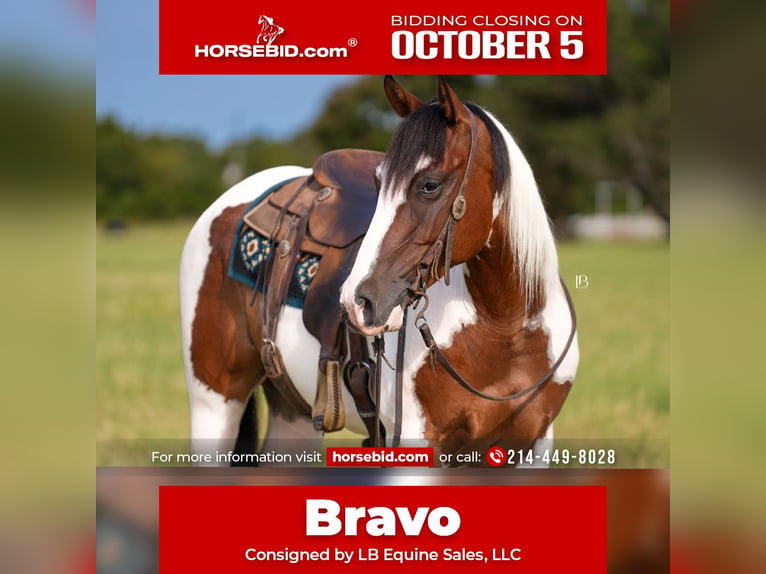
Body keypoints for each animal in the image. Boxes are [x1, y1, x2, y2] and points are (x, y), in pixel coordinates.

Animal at [180, 76, 578, 467]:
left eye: (429, 184)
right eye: (378, 181)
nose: (358, 301)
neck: (506, 328)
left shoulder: (533, 445)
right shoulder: (417, 440)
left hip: (293, 416)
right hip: (214, 402)